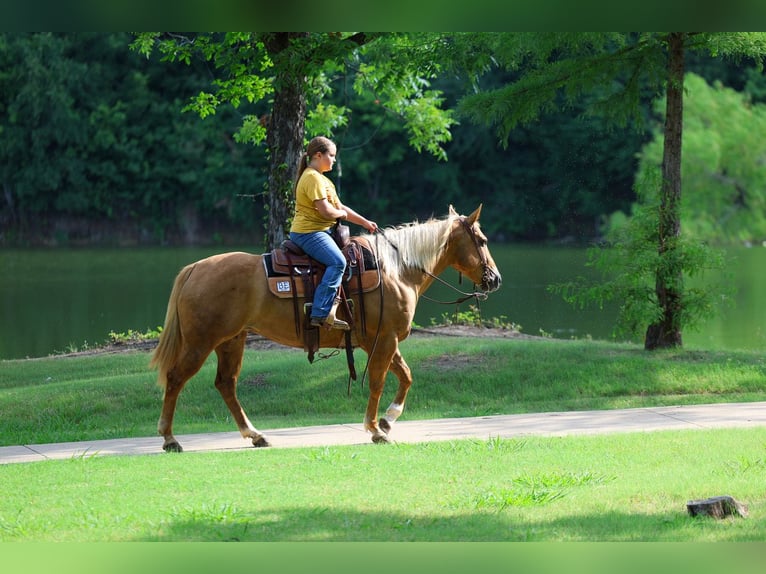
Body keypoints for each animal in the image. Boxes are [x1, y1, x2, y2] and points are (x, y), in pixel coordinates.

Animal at [149, 205, 502, 452]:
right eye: (482, 241)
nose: (495, 279)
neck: (397, 270)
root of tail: (195, 268)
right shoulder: (385, 339)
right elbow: (378, 381)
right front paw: (375, 429)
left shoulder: (380, 340)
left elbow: (406, 376)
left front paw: (388, 420)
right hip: (201, 342)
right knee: (176, 378)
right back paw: (169, 439)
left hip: (231, 340)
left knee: (226, 384)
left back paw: (255, 435)